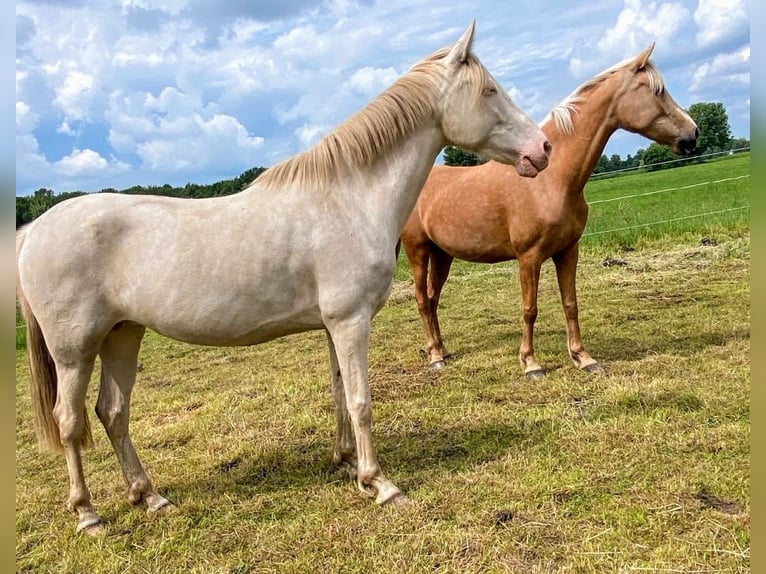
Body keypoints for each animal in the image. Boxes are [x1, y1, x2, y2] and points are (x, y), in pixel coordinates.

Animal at [13, 22, 552, 536]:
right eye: (489, 90)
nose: (543, 148)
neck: (350, 198)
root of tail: (34, 230)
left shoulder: (335, 326)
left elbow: (339, 392)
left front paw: (348, 465)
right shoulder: (351, 321)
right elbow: (361, 399)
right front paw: (381, 484)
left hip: (123, 335)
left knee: (113, 413)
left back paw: (150, 498)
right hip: (74, 351)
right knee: (70, 422)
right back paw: (88, 515)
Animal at [400, 44, 700, 378]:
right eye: (656, 90)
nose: (693, 133)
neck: (552, 179)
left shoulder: (568, 251)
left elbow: (571, 303)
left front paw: (583, 358)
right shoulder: (529, 258)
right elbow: (530, 309)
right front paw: (531, 363)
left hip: (443, 255)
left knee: (433, 298)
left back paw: (442, 350)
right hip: (418, 250)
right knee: (422, 300)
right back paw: (434, 356)